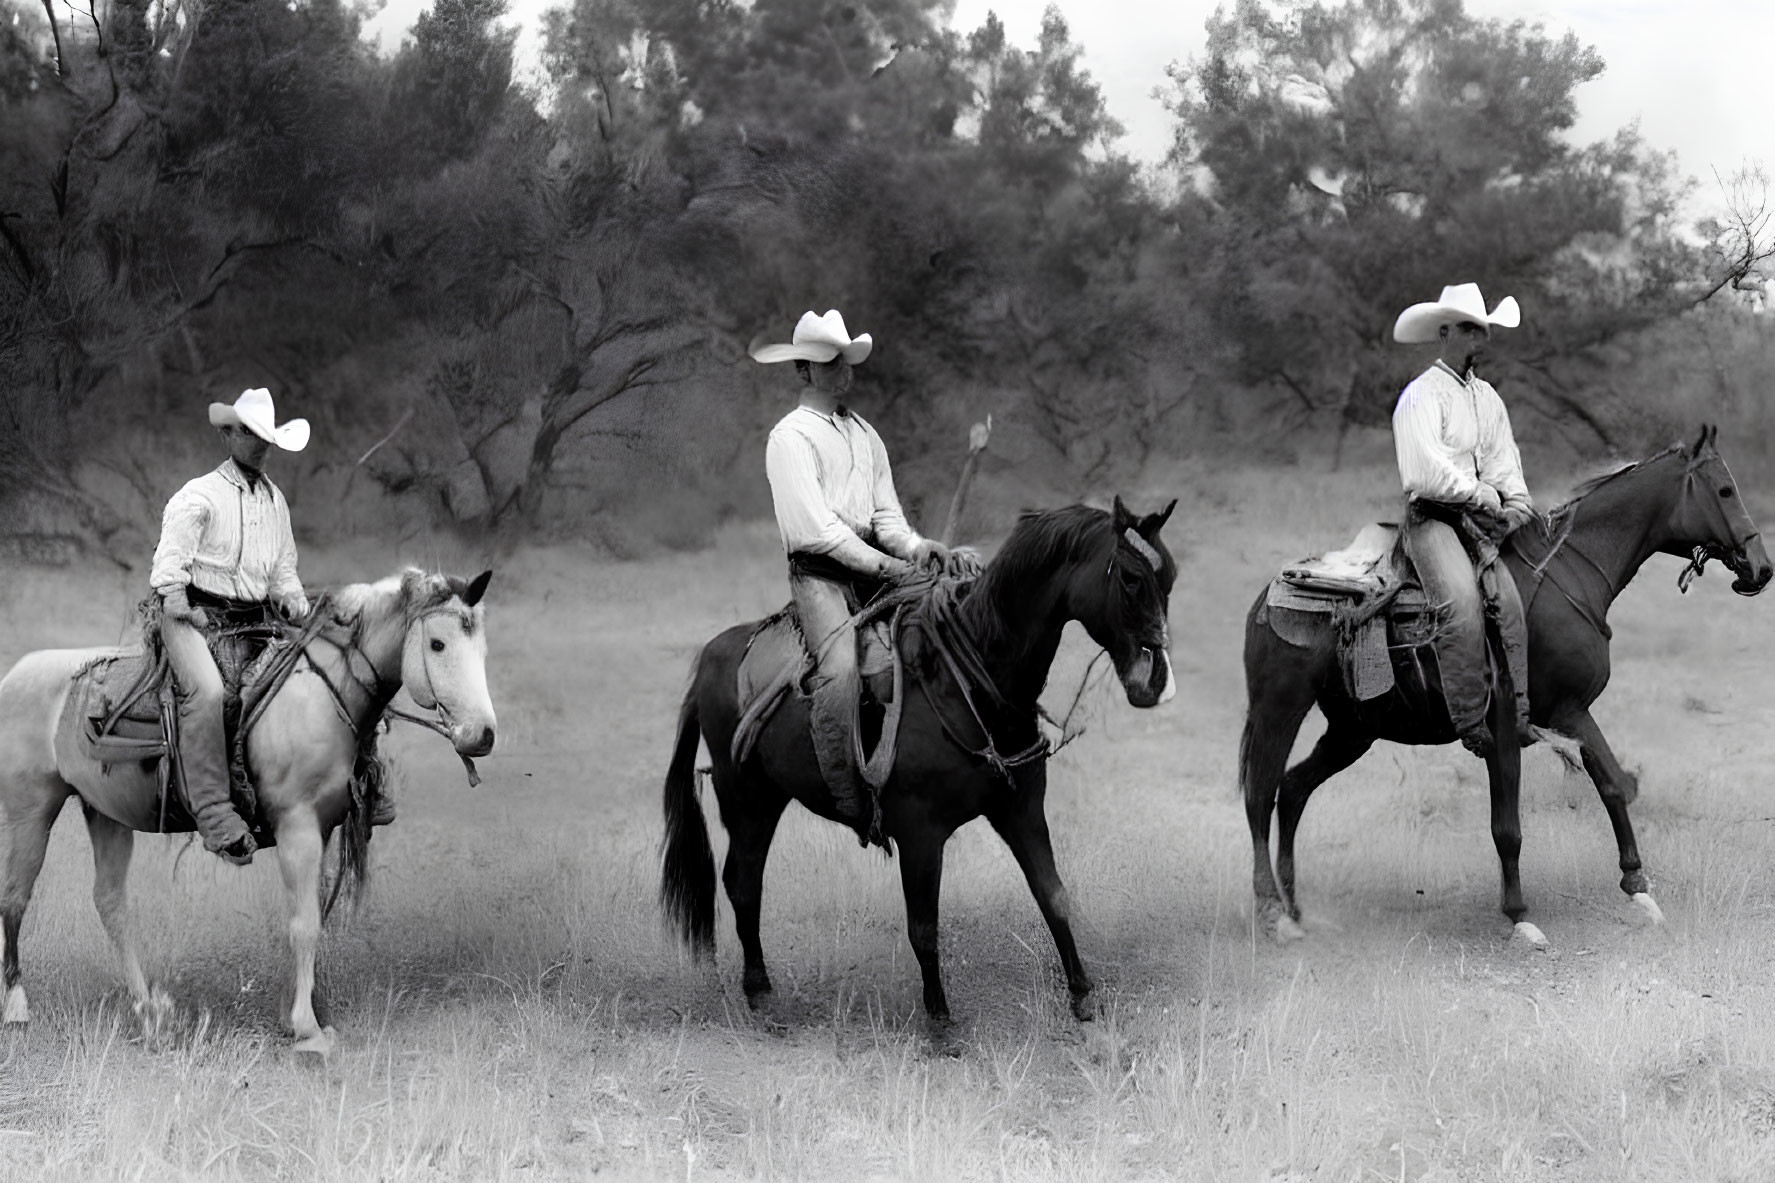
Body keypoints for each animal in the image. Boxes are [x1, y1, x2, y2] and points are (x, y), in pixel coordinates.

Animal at [0, 568, 500, 1044]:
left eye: (481, 648)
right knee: (15, 897)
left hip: (104, 813)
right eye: (437, 644)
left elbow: (312, 914)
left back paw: (149, 1011)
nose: (483, 735)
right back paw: (18, 1008)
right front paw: (306, 1027)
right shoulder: (297, 826)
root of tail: (16, 675)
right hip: (30, 812)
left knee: (110, 903)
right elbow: (304, 923)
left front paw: (303, 1010)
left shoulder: (320, 828)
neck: (319, 693)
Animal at [660, 497, 1171, 1023]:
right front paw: (940, 1018)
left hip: (768, 798)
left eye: (1168, 577)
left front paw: (1082, 993)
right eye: (1130, 578)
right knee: (743, 883)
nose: (1153, 679)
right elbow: (924, 927)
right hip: (746, 800)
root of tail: (711, 657)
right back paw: (759, 988)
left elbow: (1054, 897)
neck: (966, 682)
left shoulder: (1022, 810)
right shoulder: (920, 833)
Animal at [1242, 428, 1767, 944]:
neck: (1566, 575)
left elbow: (1614, 785)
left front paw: (1639, 889)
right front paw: (1520, 917)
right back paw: (1271, 912)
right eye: (1725, 490)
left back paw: (1295, 908)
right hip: (1280, 708)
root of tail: (1267, 596)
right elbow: (1508, 827)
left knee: (1292, 789)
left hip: (1353, 730)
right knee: (1260, 795)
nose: (1761, 567)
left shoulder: (1570, 711)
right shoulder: (1508, 725)